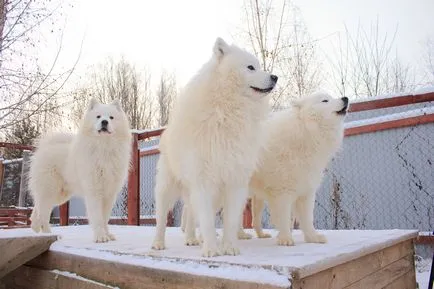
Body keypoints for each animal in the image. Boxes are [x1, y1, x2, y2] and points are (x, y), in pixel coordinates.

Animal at [29, 98, 131, 242]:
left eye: (111, 117)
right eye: (98, 117)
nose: (104, 122)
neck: (104, 147)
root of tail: (45, 147)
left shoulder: (109, 194)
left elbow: (105, 218)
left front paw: (107, 235)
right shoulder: (94, 191)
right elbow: (98, 218)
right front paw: (100, 237)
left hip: (60, 195)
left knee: (37, 209)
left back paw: (35, 227)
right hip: (50, 190)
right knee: (43, 213)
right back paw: (48, 234)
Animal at [151, 37, 276, 255]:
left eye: (259, 66)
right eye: (250, 67)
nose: (275, 77)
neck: (227, 112)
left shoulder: (235, 180)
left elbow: (230, 221)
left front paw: (229, 248)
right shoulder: (203, 180)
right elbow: (208, 222)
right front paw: (210, 250)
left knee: (191, 214)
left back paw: (191, 239)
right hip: (168, 187)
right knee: (162, 218)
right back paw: (159, 243)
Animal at [249, 93, 348, 245]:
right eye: (325, 100)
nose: (346, 98)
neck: (305, 131)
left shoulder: (306, 191)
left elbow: (307, 219)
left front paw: (313, 238)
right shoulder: (282, 193)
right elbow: (284, 218)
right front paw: (285, 239)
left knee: (253, 220)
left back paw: (252, 235)